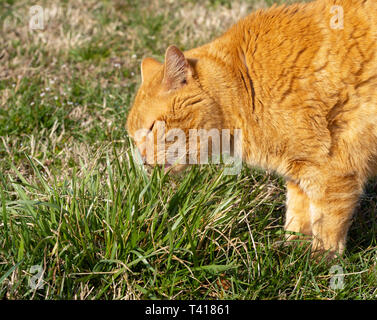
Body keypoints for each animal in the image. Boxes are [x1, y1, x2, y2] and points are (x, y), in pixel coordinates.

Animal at [126, 0, 376, 258]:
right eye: (133, 138)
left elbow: (327, 226)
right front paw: (290, 251)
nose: (142, 159)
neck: (245, 84)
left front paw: (318, 260)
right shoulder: (300, 172)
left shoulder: (332, 171)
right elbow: (297, 215)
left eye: (151, 127)